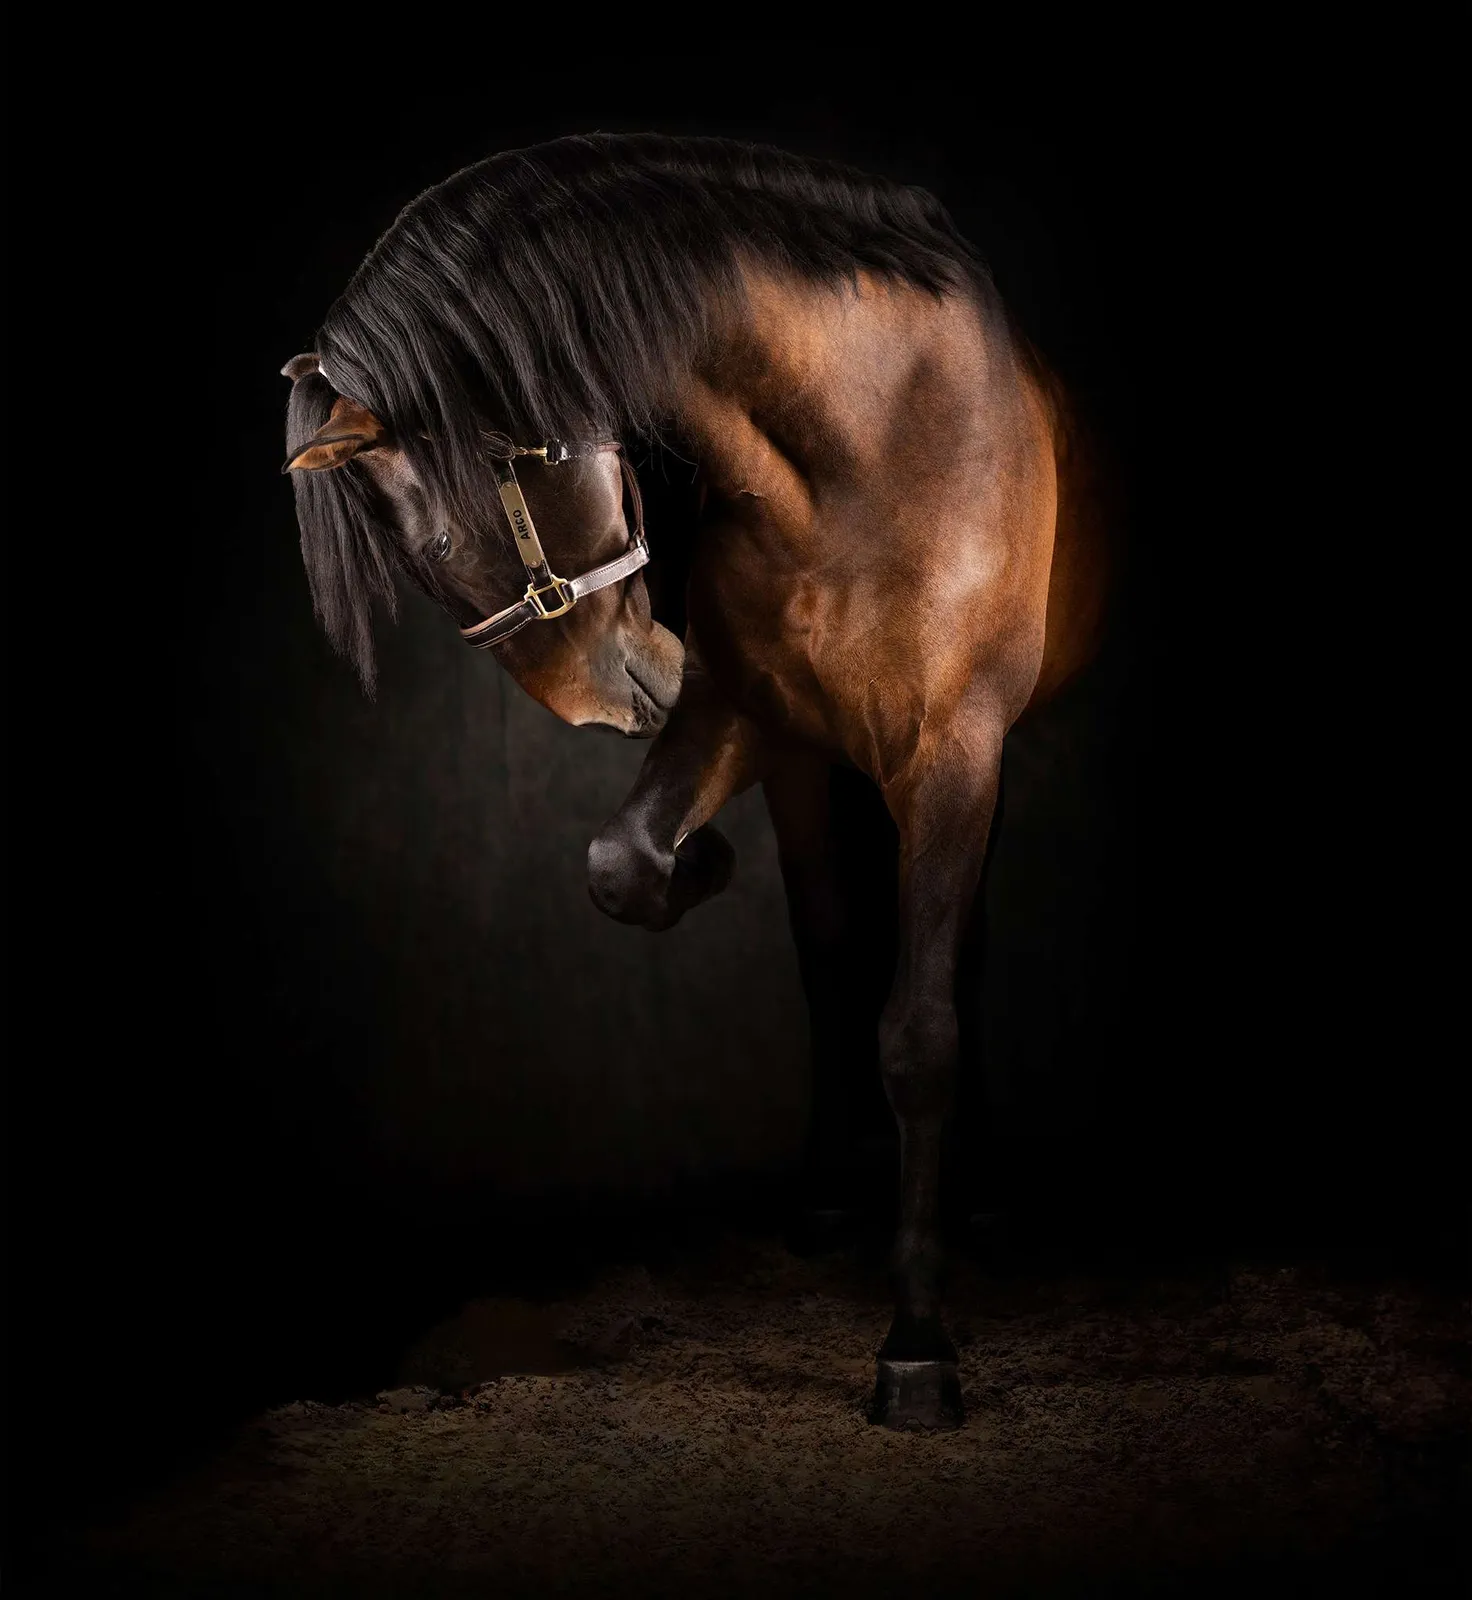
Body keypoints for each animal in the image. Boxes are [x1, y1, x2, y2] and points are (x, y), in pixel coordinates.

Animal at [282, 132, 1112, 1430]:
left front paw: (916, 1344)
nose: (611, 697)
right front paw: (695, 860)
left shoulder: (955, 748)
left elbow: (919, 1030)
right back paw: (833, 1198)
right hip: (819, 769)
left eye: (438, 544)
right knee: (830, 954)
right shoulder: (749, 715)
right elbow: (625, 865)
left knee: (948, 961)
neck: (865, 438)